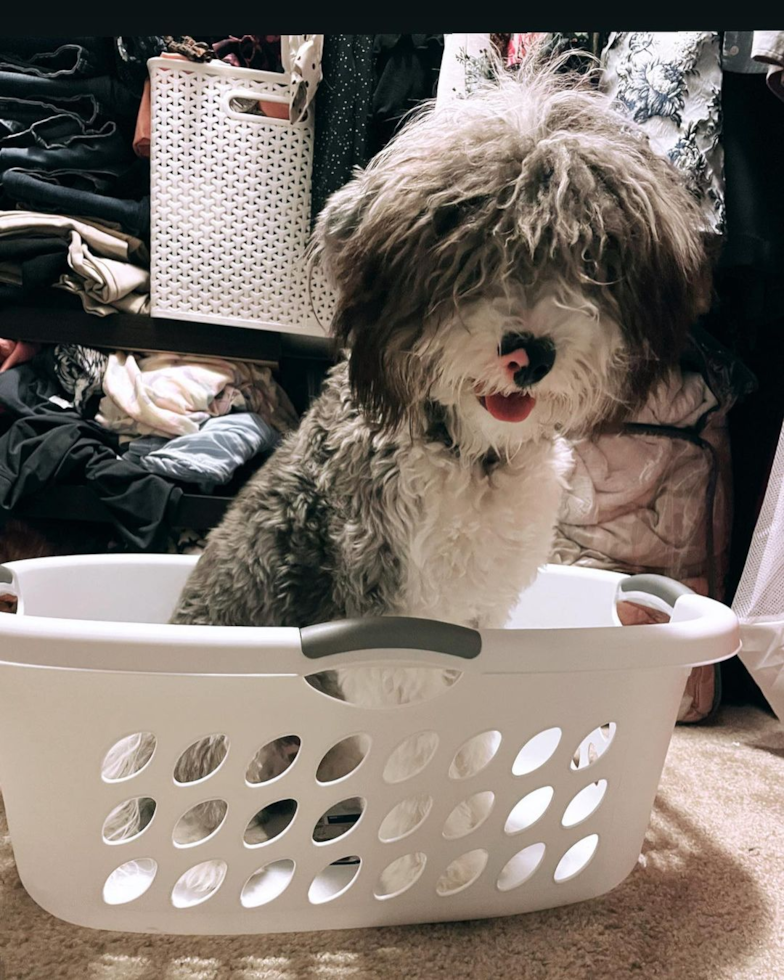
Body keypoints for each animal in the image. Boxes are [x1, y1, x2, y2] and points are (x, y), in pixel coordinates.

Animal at [108, 63, 704, 896]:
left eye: (589, 257)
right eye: (468, 249)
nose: (529, 351)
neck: (470, 452)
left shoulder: (477, 620)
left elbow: (469, 750)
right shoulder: (394, 630)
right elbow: (421, 764)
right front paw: (439, 865)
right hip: (220, 752)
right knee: (202, 825)